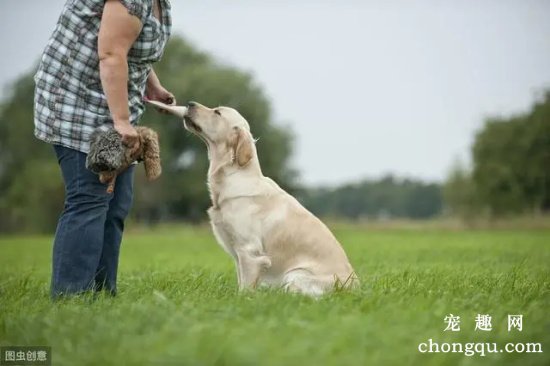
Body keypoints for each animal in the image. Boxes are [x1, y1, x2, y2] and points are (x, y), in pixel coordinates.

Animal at [149, 99, 360, 294]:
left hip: (295, 275)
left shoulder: (249, 252)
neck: (233, 175)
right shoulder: (238, 254)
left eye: (217, 112)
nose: (190, 103)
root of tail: (356, 287)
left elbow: (245, 289)